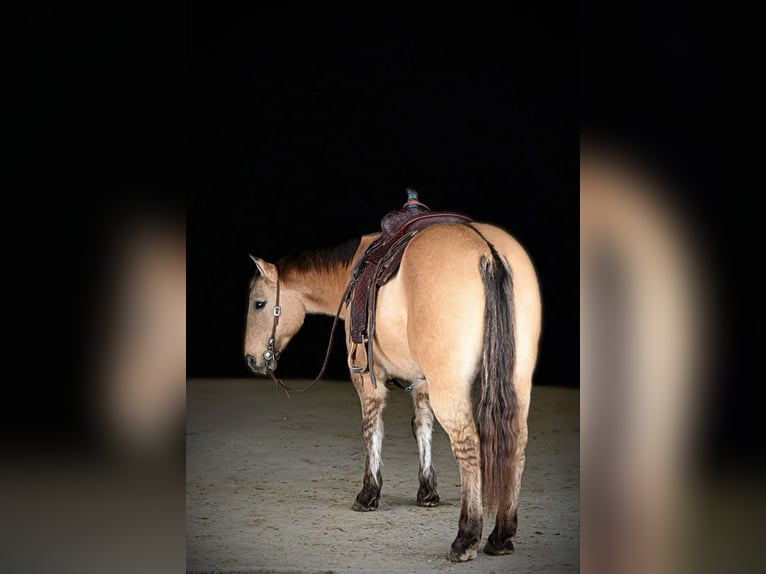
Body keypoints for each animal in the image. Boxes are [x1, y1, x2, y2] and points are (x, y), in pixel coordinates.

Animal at [244, 194, 540, 564]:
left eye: (259, 304)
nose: (252, 359)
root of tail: (487, 250)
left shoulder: (367, 377)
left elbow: (373, 428)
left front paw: (369, 494)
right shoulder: (423, 381)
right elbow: (422, 426)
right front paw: (427, 491)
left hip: (451, 387)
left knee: (468, 444)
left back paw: (467, 537)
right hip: (516, 380)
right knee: (517, 441)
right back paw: (501, 535)